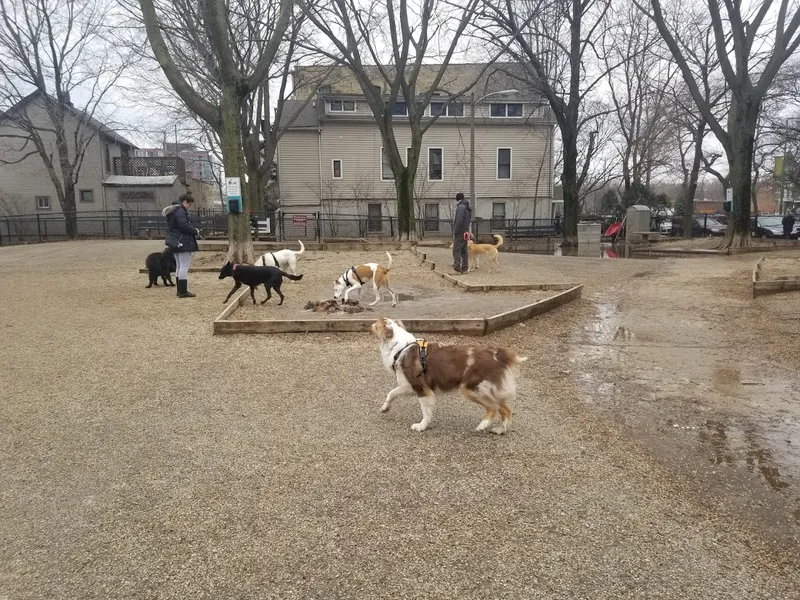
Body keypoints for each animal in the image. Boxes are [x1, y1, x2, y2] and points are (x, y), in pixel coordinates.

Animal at [374, 316, 528, 434]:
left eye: (378, 323)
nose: (374, 322)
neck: (400, 348)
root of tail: (498, 355)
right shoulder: (408, 385)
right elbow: (391, 393)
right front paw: (385, 408)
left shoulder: (422, 388)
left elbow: (425, 412)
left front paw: (421, 426)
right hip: (489, 389)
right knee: (506, 410)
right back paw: (500, 430)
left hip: (470, 388)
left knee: (494, 407)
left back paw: (482, 425)